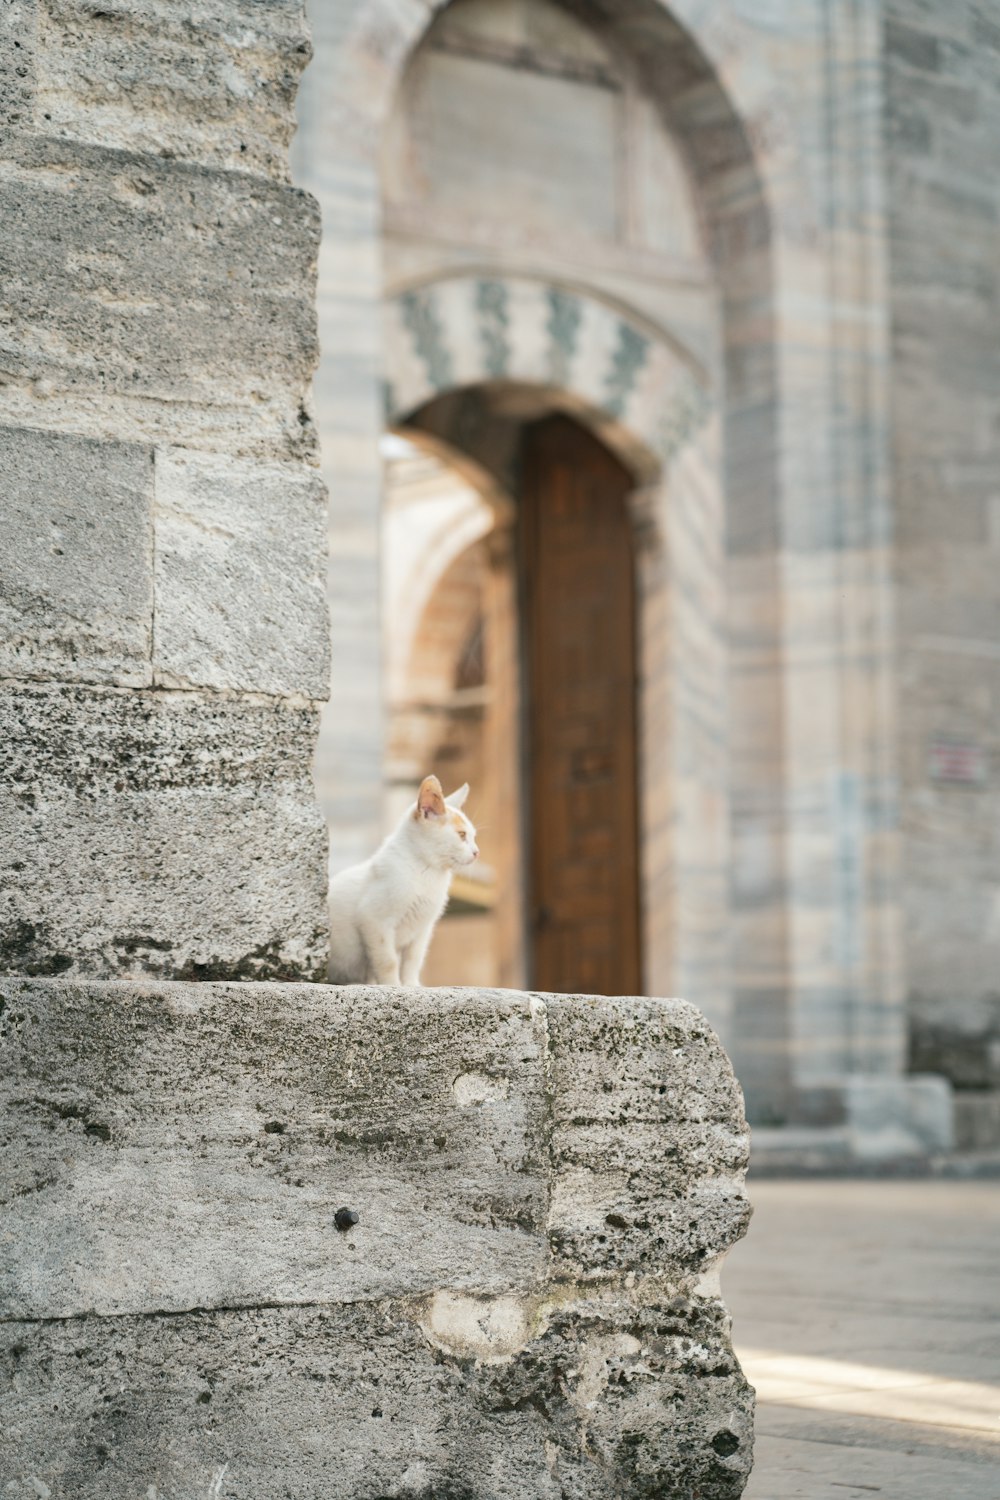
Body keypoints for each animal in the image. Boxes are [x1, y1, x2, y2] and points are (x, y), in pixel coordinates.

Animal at [328, 774, 479, 984]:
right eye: (462, 835)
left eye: (473, 836)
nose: (476, 852)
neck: (427, 873)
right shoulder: (374, 920)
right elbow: (388, 961)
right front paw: (392, 985)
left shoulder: (423, 929)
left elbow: (413, 959)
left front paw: (410, 984)